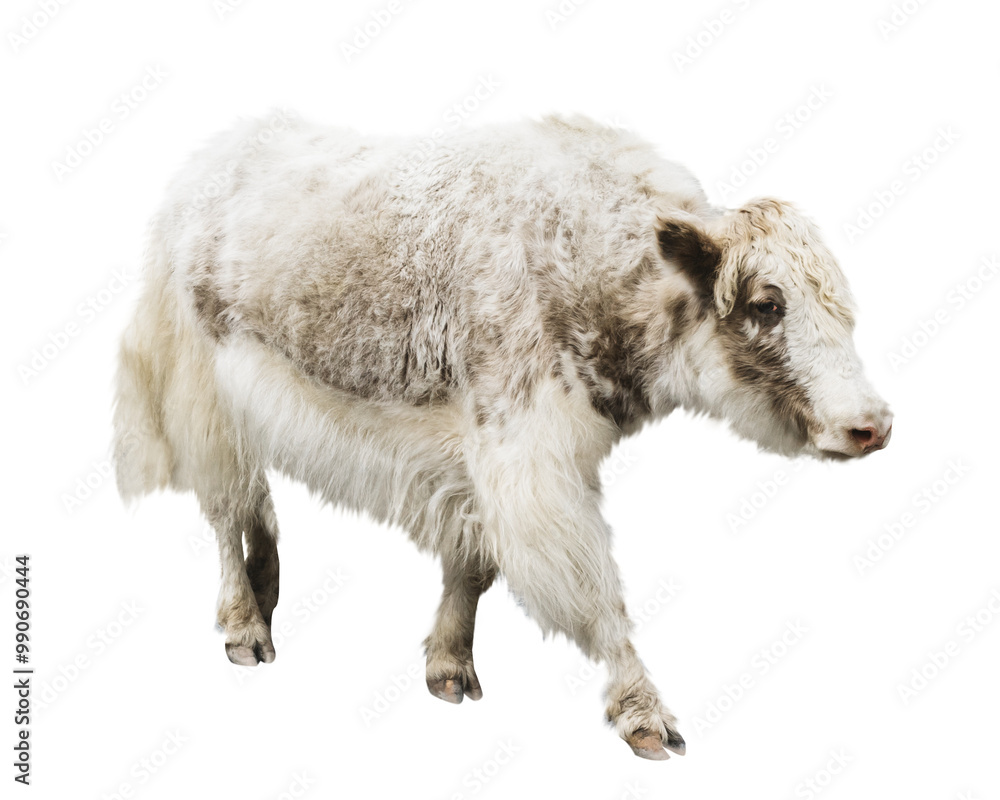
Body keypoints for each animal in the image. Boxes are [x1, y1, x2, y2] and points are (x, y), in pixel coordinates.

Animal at [112, 113, 892, 760]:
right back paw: (246, 624)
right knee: (224, 503)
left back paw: (269, 586)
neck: (593, 263)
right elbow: (589, 585)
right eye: (767, 304)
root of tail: (205, 164)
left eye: (842, 307)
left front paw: (449, 667)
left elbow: (473, 561)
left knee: (253, 499)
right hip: (200, 388)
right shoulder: (526, 457)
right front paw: (644, 714)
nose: (872, 425)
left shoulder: (479, 457)